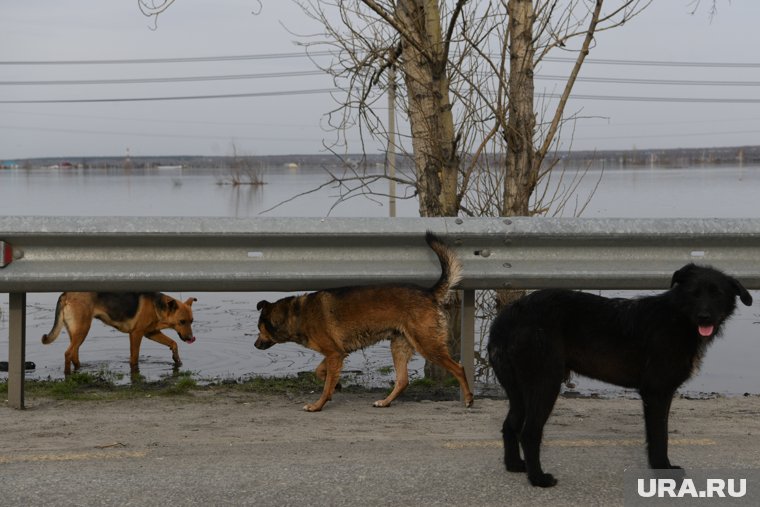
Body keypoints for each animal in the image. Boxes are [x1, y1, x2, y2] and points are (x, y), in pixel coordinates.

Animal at [42, 292, 197, 376]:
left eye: (191, 321)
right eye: (182, 321)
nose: (191, 339)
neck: (157, 306)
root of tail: (65, 294)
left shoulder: (151, 333)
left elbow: (173, 343)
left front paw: (176, 359)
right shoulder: (136, 334)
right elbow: (134, 358)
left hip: (75, 332)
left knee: (74, 354)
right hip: (82, 330)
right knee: (68, 353)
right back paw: (67, 375)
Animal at [252, 230, 472, 412]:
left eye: (260, 328)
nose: (255, 345)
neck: (296, 314)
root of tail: (429, 293)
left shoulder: (334, 354)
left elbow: (324, 386)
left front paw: (317, 405)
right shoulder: (336, 354)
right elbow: (321, 372)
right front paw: (337, 385)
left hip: (428, 345)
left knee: (459, 368)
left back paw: (469, 398)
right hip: (400, 345)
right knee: (403, 380)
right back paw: (385, 402)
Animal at [490, 264, 752, 486]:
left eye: (717, 294)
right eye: (693, 293)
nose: (704, 317)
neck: (678, 318)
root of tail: (507, 316)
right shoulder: (657, 392)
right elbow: (660, 436)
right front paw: (663, 472)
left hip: (519, 389)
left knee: (510, 424)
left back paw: (515, 465)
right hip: (545, 383)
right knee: (529, 432)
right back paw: (538, 479)